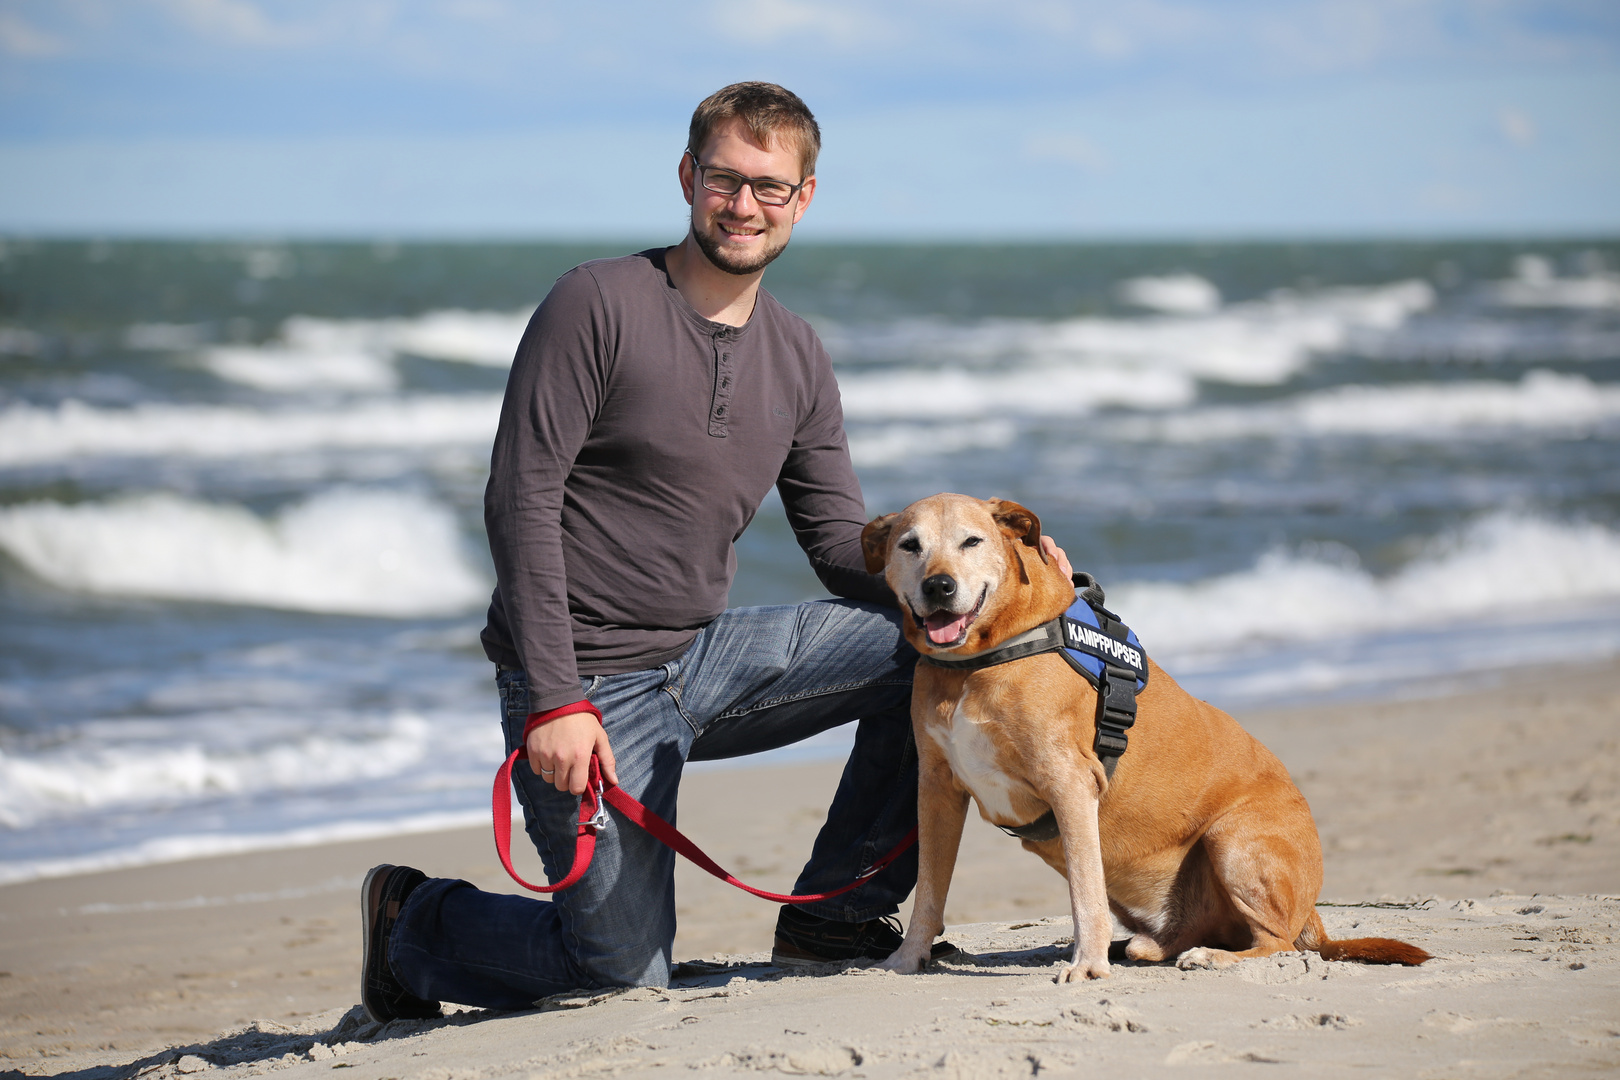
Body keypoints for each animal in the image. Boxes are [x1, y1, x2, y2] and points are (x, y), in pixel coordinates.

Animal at [868, 495, 1425, 984]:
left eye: (972, 541)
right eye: (910, 545)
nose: (939, 587)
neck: (978, 659)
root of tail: (1312, 913)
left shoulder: (1070, 785)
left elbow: (1084, 896)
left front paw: (1087, 965)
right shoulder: (937, 791)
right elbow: (929, 892)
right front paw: (908, 958)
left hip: (1233, 837)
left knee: (1277, 943)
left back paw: (1210, 957)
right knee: (1193, 935)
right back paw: (1148, 945)